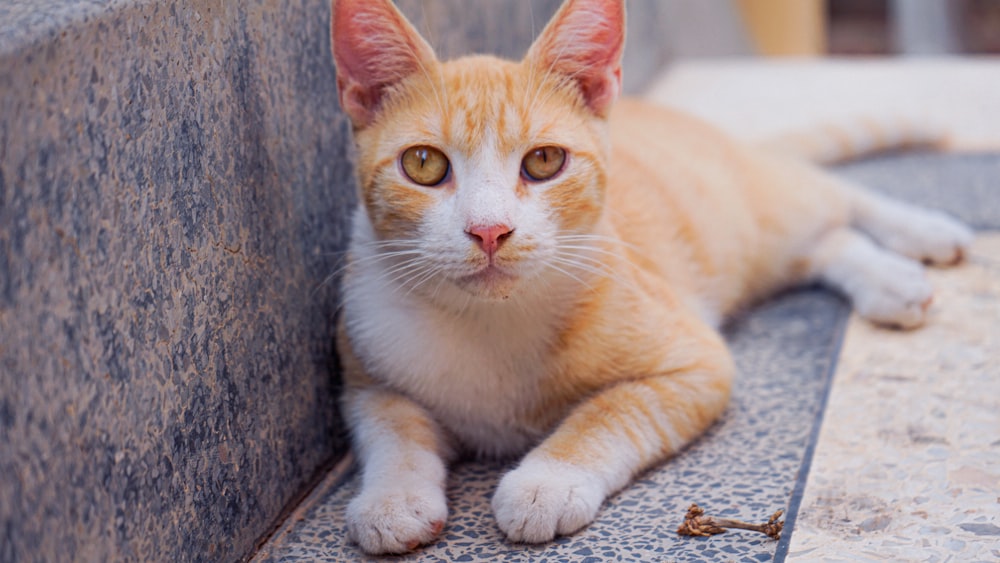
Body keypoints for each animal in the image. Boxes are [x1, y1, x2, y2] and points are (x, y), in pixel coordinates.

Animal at [332, 0, 972, 556]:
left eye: (544, 161)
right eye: (423, 164)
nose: (489, 231)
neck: (490, 321)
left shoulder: (695, 362)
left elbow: (611, 412)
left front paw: (547, 482)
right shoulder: (366, 370)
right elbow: (391, 427)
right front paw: (392, 498)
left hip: (758, 204)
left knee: (835, 196)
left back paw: (915, 242)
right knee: (822, 242)